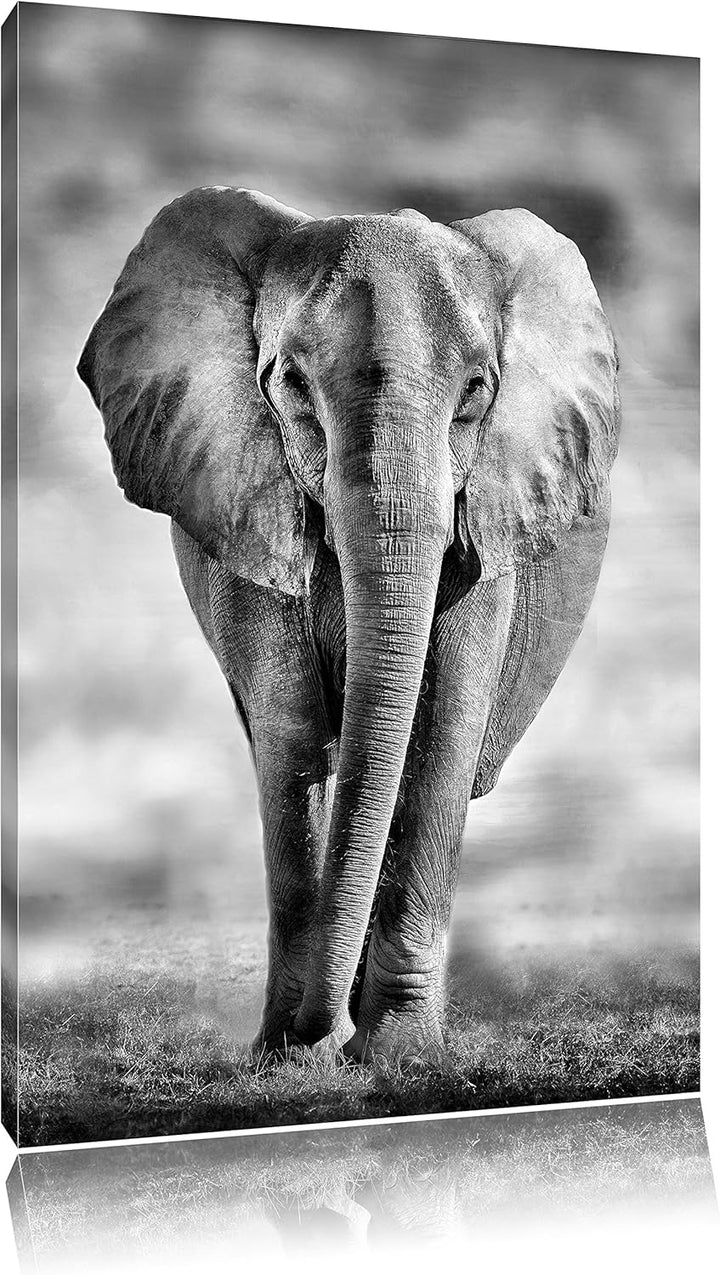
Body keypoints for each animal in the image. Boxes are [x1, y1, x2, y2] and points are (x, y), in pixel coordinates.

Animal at [78, 187, 620, 1064]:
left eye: (477, 390)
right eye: (293, 384)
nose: (314, 1032)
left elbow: (437, 734)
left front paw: (401, 1055)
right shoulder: (244, 504)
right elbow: (293, 734)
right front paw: (288, 1058)